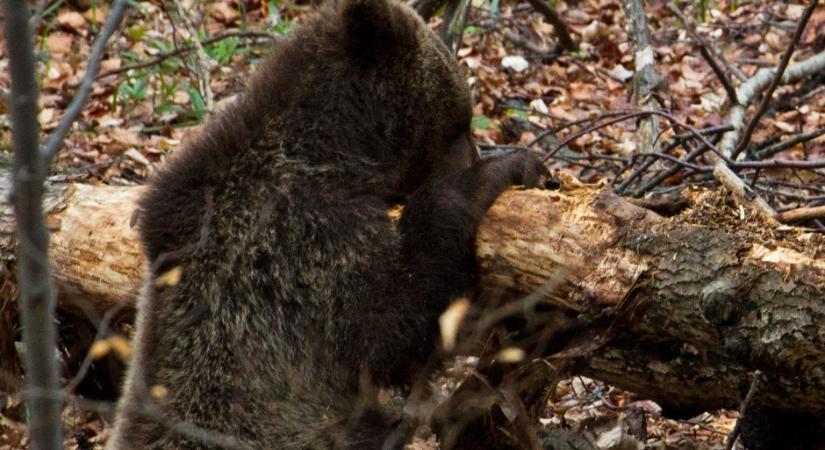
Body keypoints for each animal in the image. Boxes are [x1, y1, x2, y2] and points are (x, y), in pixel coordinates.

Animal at [108, 0, 548, 450]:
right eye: (461, 123)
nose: (474, 153)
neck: (340, 150)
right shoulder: (303, 240)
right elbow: (391, 323)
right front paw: (506, 169)